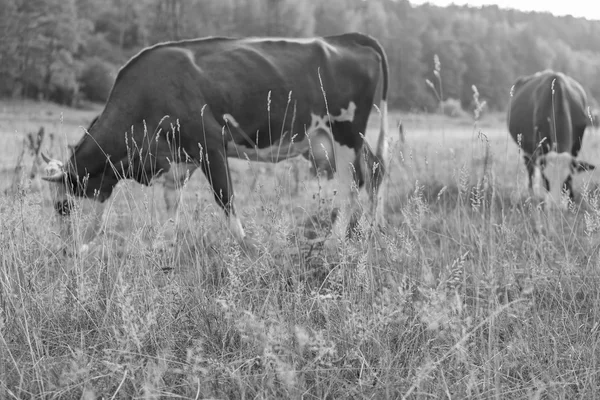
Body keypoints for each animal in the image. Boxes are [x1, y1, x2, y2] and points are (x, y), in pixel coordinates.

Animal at [42, 32, 390, 250]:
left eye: (63, 206)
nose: (65, 250)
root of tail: (342, 38)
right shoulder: (176, 162)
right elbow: (170, 209)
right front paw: (162, 248)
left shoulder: (210, 146)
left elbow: (226, 201)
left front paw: (249, 251)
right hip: (330, 141)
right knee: (374, 170)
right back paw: (372, 233)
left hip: (345, 132)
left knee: (351, 184)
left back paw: (334, 241)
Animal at [506, 70, 596, 205]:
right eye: (546, 180)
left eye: (568, 179)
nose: (556, 206)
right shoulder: (540, 145)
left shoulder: (576, 147)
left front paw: (571, 199)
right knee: (530, 168)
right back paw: (531, 193)